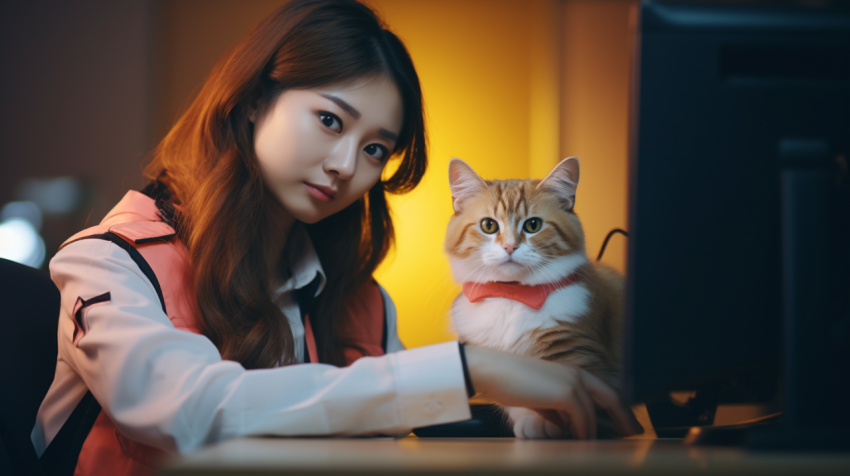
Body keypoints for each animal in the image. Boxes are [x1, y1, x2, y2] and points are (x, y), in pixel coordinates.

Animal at [444, 158, 624, 440]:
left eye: (533, 225)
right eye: (488, 226)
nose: (509, 247)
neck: (512, 295)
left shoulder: (582, 355)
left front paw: (551, 425)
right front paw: (534, 421)